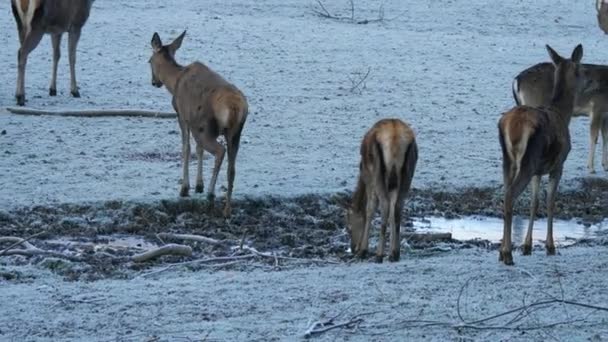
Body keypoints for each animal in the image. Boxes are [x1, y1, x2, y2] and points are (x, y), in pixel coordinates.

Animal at [149, 30, 247, 218]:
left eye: (149, 61)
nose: (154, 82)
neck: (174, 82)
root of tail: (234, 107)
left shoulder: (182, 116)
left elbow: (186, 148)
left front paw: (185, 188)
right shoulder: (194, 122)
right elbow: (198, 150)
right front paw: (198, 186)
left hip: (206, 128)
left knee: (219, 151)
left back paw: (211, 194)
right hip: (235, 133)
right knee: (232, 168)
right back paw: (227, 209)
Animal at [346, 119, 418, 264]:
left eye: (349, 227)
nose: (353, 248)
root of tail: (395, 137)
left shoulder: (368, 177)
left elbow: (369, 209)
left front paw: (363, 250)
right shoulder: (392, 185)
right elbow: (392, 213)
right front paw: (392, 251)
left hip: (377, 169)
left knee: (384, 204)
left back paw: (378, 254)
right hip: (408, 170)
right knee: (398, 207)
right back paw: (395, 254)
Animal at [498, 44, 584, 266]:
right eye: (580, 70)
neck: (563, 114)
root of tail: (512, 125)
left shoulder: (538, 170)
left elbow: (534, 202)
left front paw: (527, 245)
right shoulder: (558, 165)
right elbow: (550, 202)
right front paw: (550, 246)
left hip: (508, 160)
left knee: (505, 194)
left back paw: (502, 251)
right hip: (527, 161)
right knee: (510, 196)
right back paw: (507, 253)